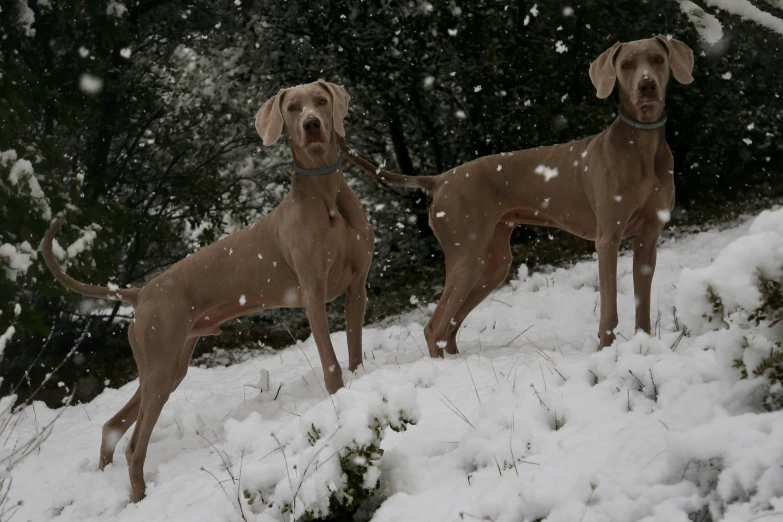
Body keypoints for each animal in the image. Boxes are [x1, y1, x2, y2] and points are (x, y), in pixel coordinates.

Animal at [42, 78, 374, 500]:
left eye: (320, 100)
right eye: (293, 108)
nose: (312, 124)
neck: (325, 192)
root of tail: (141, 293)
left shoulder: (357, 287)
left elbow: (355, 350)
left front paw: (358, 385)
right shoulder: (313, 294)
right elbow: (331, 361)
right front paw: (337, 397)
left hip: (168, 366)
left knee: (113, 426)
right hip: (161, 361)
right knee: (134, 445)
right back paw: (139, 498)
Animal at [342, 35, 692, 354]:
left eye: (657, 59)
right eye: (626, 65)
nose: (647, 86)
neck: (642, 146)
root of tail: (441, 179)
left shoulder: (649, 238)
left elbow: (642, 302)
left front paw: (645, 346)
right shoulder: (608, 239)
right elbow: (609, 310)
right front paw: (607, 352)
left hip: (494, 262)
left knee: (451, 325)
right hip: (468, 256)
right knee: (435, 326)